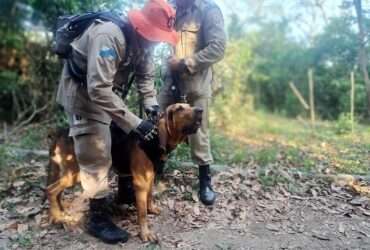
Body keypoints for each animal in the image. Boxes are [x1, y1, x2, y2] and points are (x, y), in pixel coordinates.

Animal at [46, 103, 204, 240]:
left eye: (189, 105)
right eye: (179, 108)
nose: (201, 110)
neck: (153, 138)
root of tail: (60, 133)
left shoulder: (150, 177)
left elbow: (150, 195)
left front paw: (151, 209)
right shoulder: (140, 182)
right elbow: (142, 213)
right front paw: (145, 233)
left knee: (56, 192)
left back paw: (60, 211)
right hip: (76, 173)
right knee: (51, 190)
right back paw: (57, 217)